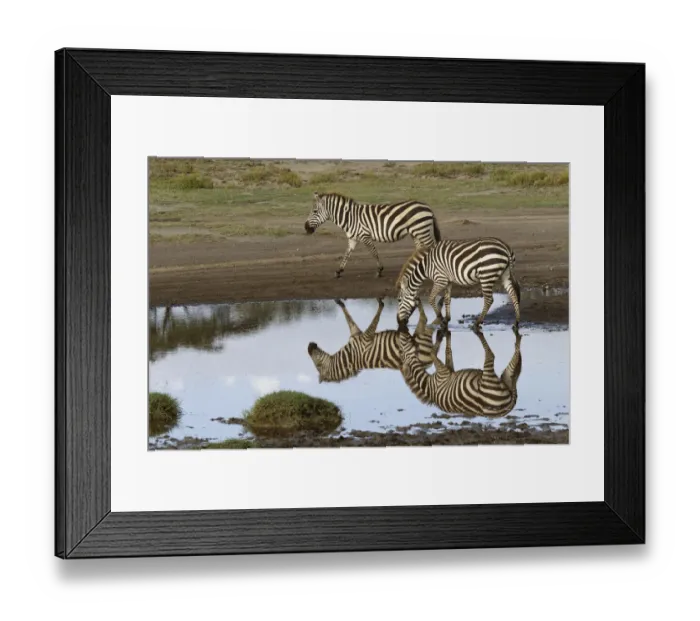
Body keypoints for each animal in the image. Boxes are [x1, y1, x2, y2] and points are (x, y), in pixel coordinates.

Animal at [304, 192, 441, 279]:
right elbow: (347, 254)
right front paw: (339, 271)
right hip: (416, 232)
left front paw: (379, 271)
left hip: (421, 230)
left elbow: (373, 252)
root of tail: (427, 206)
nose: (305, 228)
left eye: (314, 211)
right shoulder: (352, 238)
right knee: (421, 248)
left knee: (432, 246)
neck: (350, 218)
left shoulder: (365, 235)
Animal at [307, 298, 440, 384]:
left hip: (421, 339)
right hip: (420, 337)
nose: (309, 345)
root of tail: (426, 366)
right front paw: (339, 301)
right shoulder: (357, 335)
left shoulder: (366, 338)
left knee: (425, 319)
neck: (350, 356)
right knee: (425, 319)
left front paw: (380, 302)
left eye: (317, 365)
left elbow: (375, 318)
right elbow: (350, 319)